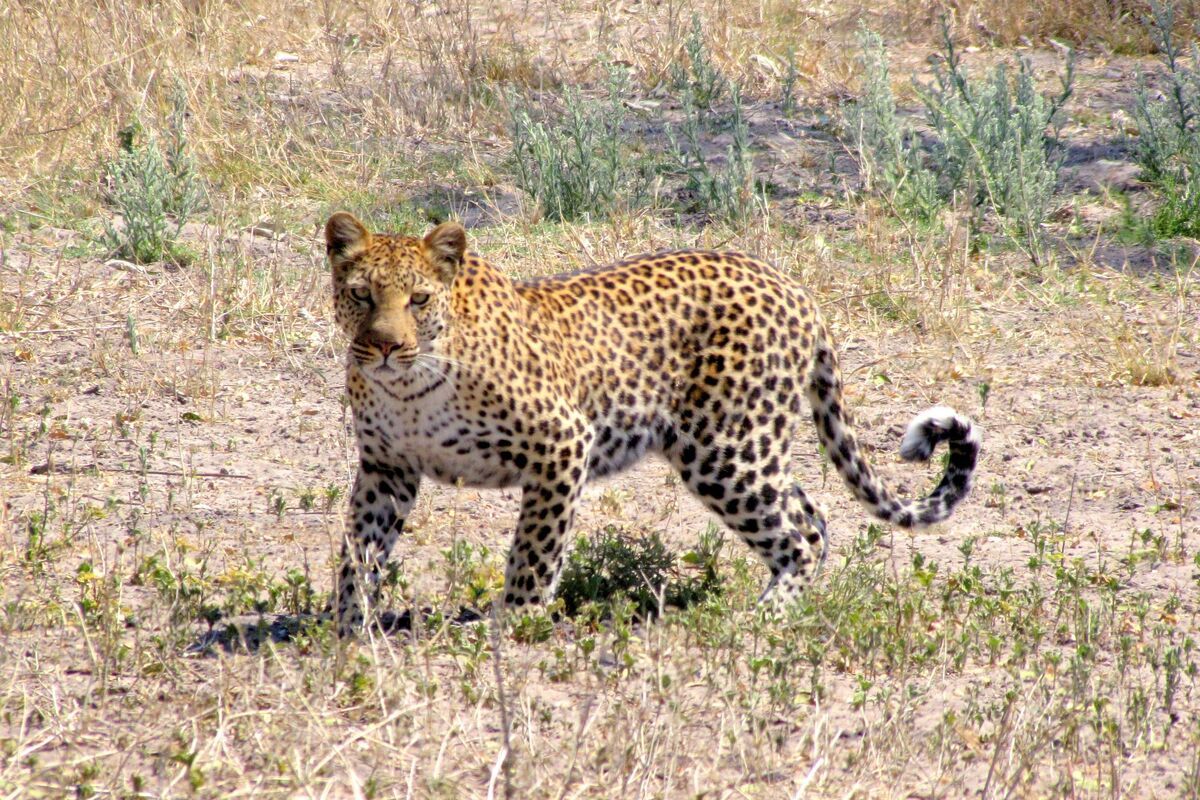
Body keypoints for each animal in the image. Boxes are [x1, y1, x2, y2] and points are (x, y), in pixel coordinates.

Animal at [324, 211, 981, 634]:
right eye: (360, 295)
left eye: (418, 300)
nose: (384, 347)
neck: (407, 387)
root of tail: (792, 286)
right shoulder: (386, 467)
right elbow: (359, 549)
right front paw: (347, 628)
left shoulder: (563, 442)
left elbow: (535, 550)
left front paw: (515, 624)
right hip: (749, 446)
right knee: (812, 518)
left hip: (724, 450)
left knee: (797, 535)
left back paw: (762, 620)